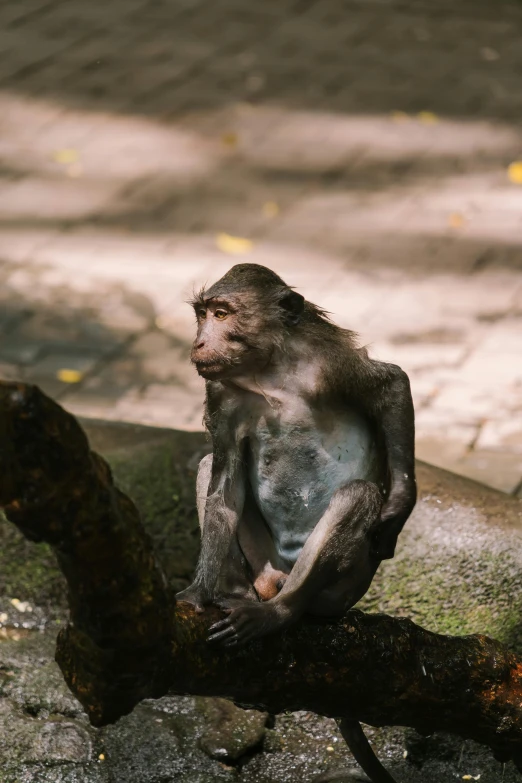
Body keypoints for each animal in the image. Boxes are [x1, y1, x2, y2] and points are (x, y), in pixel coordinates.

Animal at [175, 264, 414, 783]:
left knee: (357, 497)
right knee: (206, 468)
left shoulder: (328, 361)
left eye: (221, 314)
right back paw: (235, 594)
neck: (269, 375)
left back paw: (279, 614)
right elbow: (223, 485)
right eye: (203, 314)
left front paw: (402, 503)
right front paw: (198, 593)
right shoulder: (221, 395)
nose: (199, 342)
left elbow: (391, 385)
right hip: (265, 565)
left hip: (344, 588)